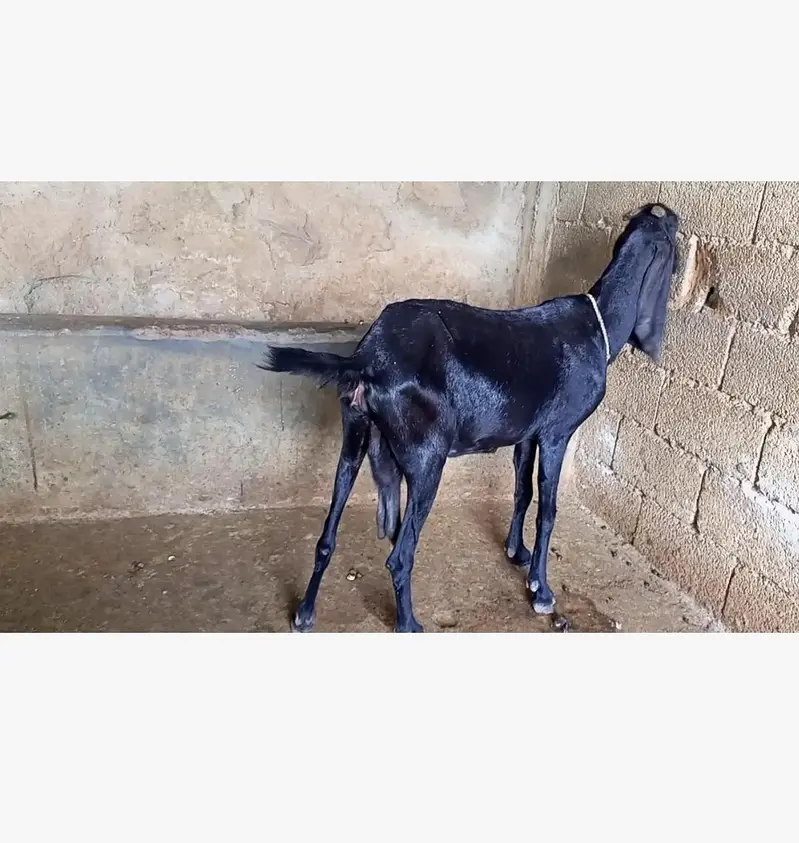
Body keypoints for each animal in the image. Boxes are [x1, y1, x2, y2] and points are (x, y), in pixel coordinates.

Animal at [258, 202, 680, 632]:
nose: (677, 219)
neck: (599, 325)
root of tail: (368, 359)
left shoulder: (527, 434)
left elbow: (522, 492)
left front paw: (516, 552)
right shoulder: (556, 433)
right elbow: (548, 511)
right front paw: (540, 590)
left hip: (355, 438)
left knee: (329, 536)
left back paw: (305, 613)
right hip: (427, 459)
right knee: (400, 555)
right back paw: (408, 623)